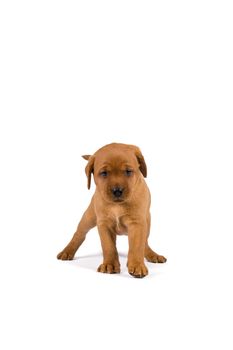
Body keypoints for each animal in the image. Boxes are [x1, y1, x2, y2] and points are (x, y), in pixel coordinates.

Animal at [56, 144, 167, 278]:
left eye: (128, 171)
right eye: (104, 173)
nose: (117, 191)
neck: (117, 205)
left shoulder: (137, 223)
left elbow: (136, 246)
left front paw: (137, 265)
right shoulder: (104, 224)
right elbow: (108, 247)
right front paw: (109, 265)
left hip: (148, 222)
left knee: (144, 242)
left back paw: (152, 255)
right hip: (89, 217)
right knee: (79, 234)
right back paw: (67, 251)